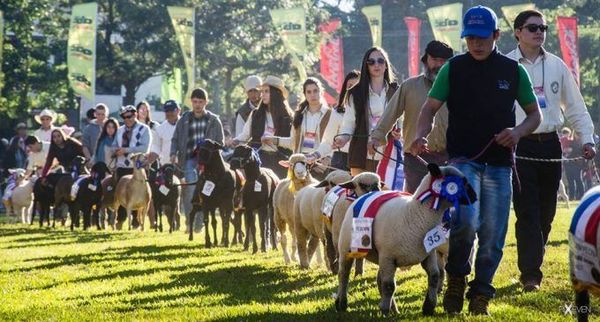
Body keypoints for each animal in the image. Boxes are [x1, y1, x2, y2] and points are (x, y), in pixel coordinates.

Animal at [332, 165, 478, 316]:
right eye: (458, 182)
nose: (475, 197)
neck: (416, 216)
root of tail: (365, 197)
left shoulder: (428, 254)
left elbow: (434, 276)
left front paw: (429, 306)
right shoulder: (388, 257)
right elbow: (389, 286)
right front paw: (384, 311)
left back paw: (393, 309)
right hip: (346, 249)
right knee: (344, 275)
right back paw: (341, 303)